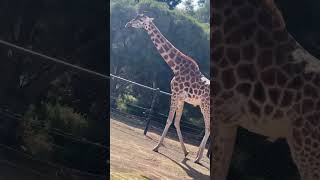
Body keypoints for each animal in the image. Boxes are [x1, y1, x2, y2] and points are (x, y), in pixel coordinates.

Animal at [125, 14, 210, 163]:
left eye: (140, 20)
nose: (128, 24)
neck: (176, 66)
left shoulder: (175, 93)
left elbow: (169, 120)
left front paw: (156, 147)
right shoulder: (181, 98)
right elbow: (176, 122)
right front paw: (186, 152)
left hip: (206, 106)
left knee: (208, 128)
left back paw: (198, 158)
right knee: (209, 129)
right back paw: (197, 156)